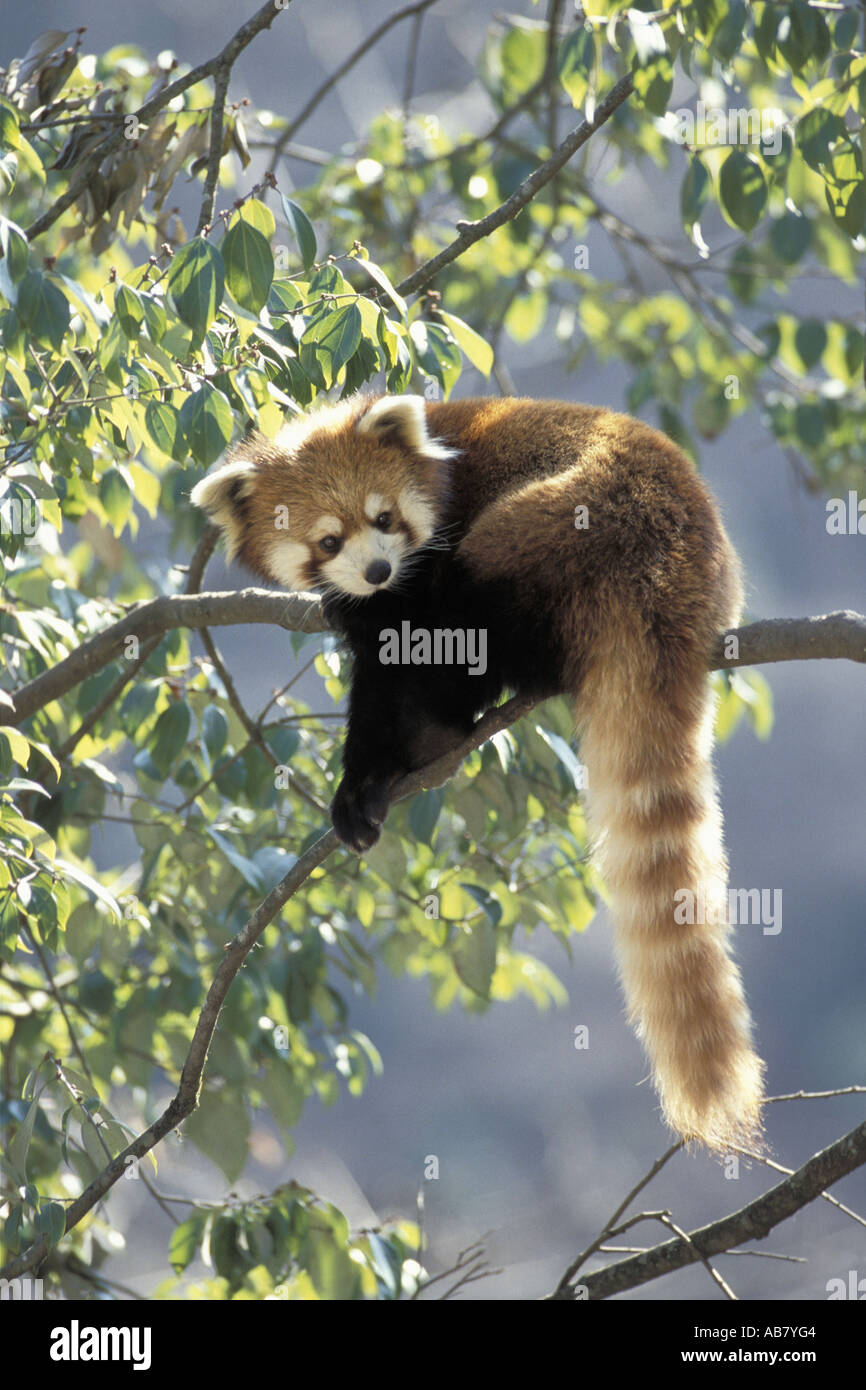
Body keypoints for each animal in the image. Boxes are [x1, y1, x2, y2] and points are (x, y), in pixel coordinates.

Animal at [191, 394, 767, 1150]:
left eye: (384, 519)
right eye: (327, 541)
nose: (376, 572)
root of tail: (667, 571)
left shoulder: (430, 556)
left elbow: (398, 656)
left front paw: (382, 760)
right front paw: (363, 792)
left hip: (553, 525)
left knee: (476, 605)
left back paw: (458, 713)